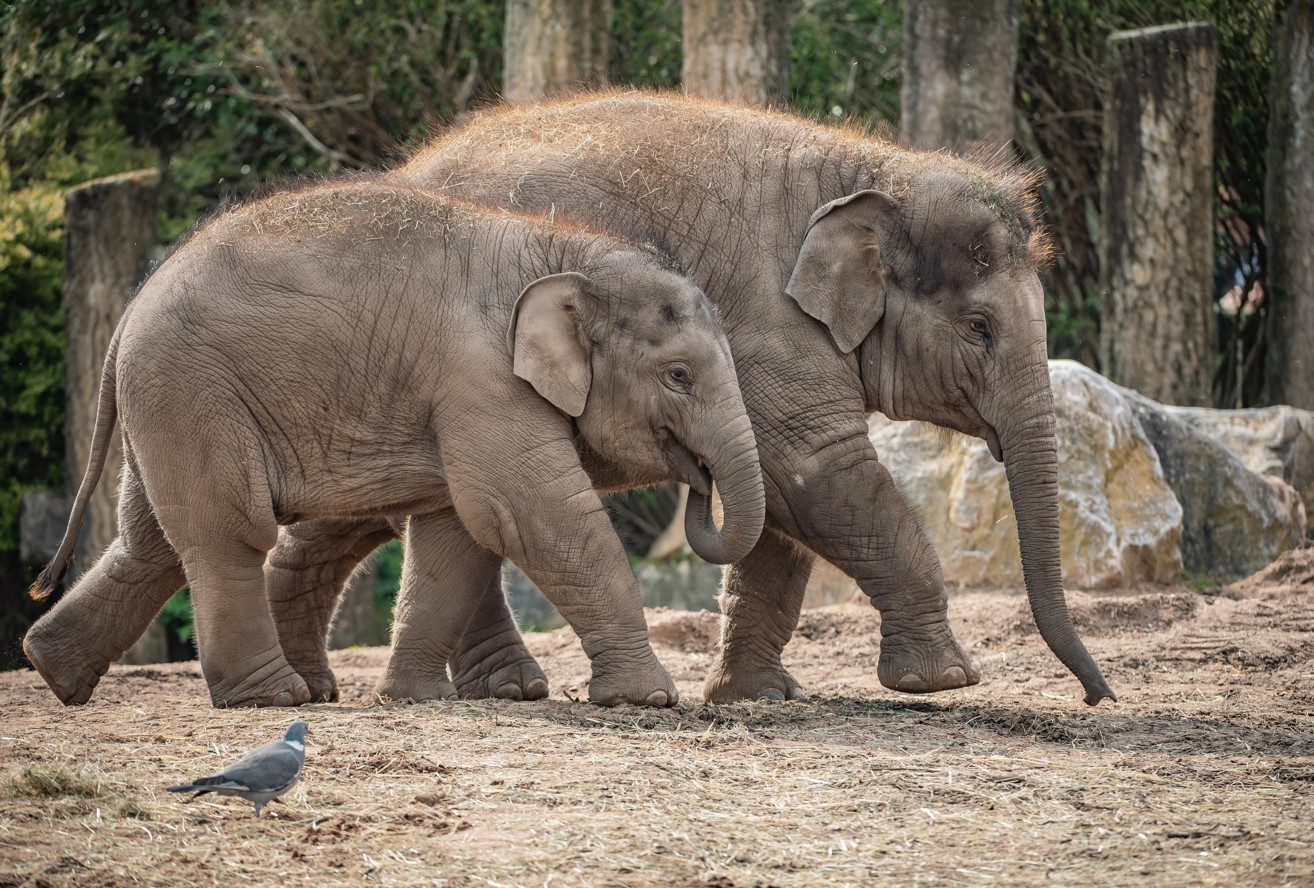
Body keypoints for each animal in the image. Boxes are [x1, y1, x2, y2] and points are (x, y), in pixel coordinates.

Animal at [25, 179, 767, 709]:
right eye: (679, 376)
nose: (700, 479)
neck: (566, 251)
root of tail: (128, 314)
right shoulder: (481, 379)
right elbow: (526, 513)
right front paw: (652, 698)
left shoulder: (463, 395)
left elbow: (458, 535)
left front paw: (414, 698)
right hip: (191, 393)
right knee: (227, 535)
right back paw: (273, 698)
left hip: (166, 404)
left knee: (149, 543)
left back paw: (54, 671)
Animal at [271, 91, 1114, 709]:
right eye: (979, 328)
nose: (1096, 697)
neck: (877, 169)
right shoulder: (776, 331)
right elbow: (812, 471)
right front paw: (940, 681)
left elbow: (782, 509)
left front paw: (757, 697)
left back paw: (343, 682)